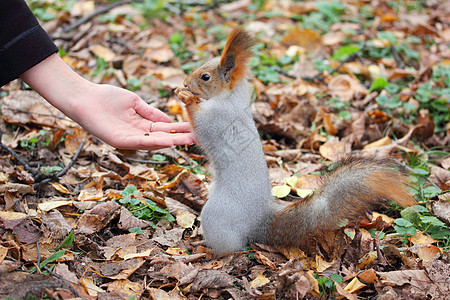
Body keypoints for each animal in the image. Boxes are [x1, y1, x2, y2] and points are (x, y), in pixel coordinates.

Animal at [173, 28, 418, 255]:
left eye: (205, 77)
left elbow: (202, 125)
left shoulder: (219, 118)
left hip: (218, 216)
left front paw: (187, 98)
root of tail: (260, 222)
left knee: (232, 248)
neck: (230, 98)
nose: (184, 81)